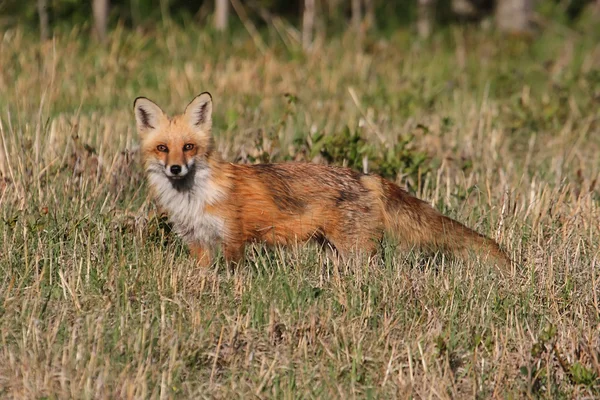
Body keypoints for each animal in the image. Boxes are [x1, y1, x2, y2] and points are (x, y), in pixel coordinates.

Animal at [135, 92, 510, 270]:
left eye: (188, 147)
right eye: (163, 148)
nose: (176, 169)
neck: (193, 199)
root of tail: (366, 177)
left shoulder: (233, 240)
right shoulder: (197, 244)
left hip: (355, 251)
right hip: (335, 248)